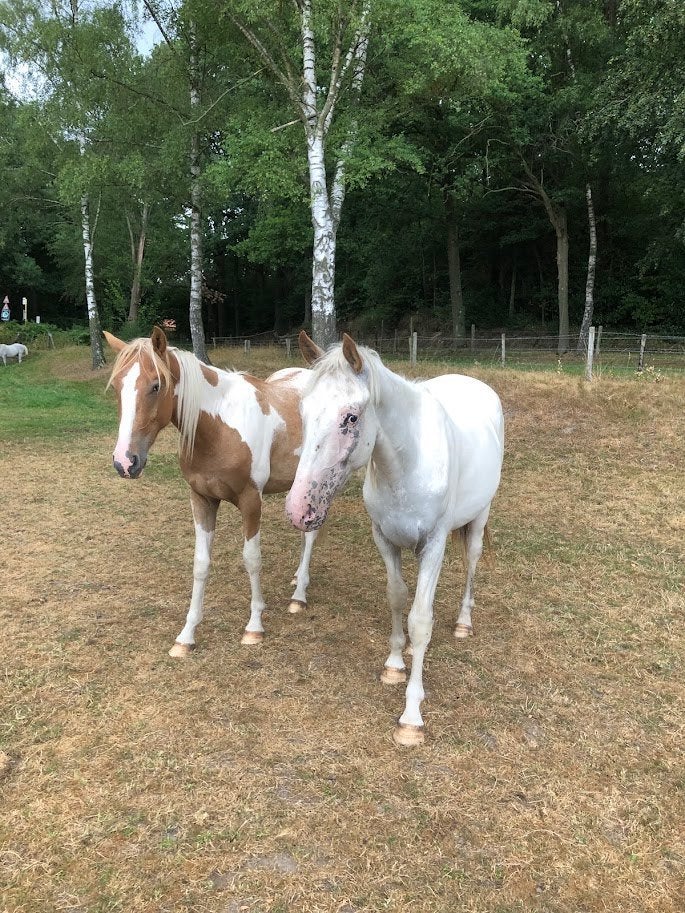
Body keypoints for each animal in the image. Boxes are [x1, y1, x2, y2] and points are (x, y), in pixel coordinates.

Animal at [105, 326, 320, 656]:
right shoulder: (202, 499)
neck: (220, 427)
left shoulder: (251, 501)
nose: (125, 462)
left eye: (156, 385)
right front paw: (186, 636)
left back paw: (299, 596)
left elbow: (252, 559)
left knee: (311, 533)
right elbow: (201, 564)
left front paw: (254, 626)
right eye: (117, 386)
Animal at [286, 332, 504, 746]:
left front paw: (411, 717)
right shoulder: (385, 540)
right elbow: (397, 598)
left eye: (351, 418)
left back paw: (463, 623)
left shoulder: (433, 546)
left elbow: (420, 620)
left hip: (479, 519)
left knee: (471, 562)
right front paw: (394, 665)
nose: (297, 508)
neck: (406, 465)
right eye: (303, 412)